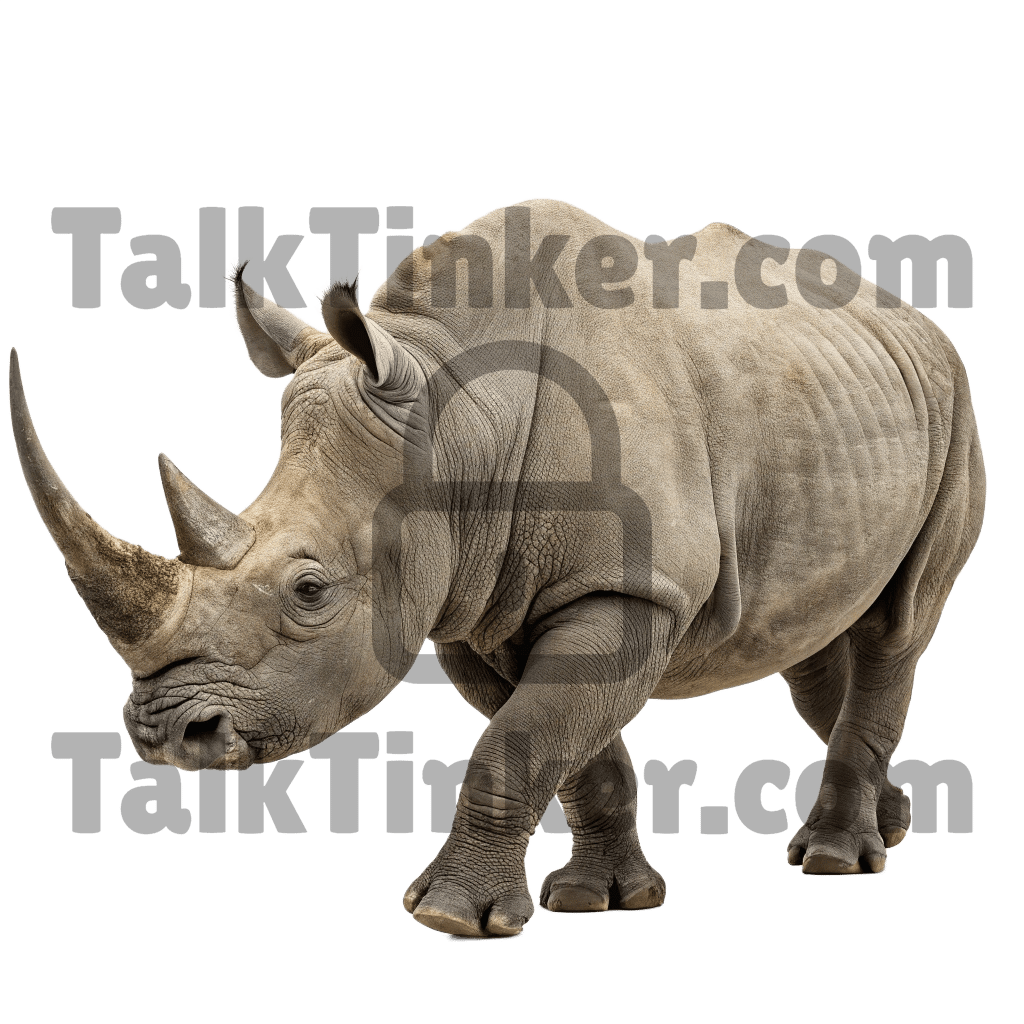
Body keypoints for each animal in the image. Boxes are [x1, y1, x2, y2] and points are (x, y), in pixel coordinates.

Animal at [10, 199, 985, 939]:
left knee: (897, 623)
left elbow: (517, 740)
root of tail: (911, 315)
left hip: (957, 403)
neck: (459, 410)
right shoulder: (473, 601)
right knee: (814, 640)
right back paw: (889, 822)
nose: (166, 736)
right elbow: (567, 747)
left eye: (310, 591)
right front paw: (602, 900)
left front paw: (448, 918)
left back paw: (835, 859)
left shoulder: (627, 587)